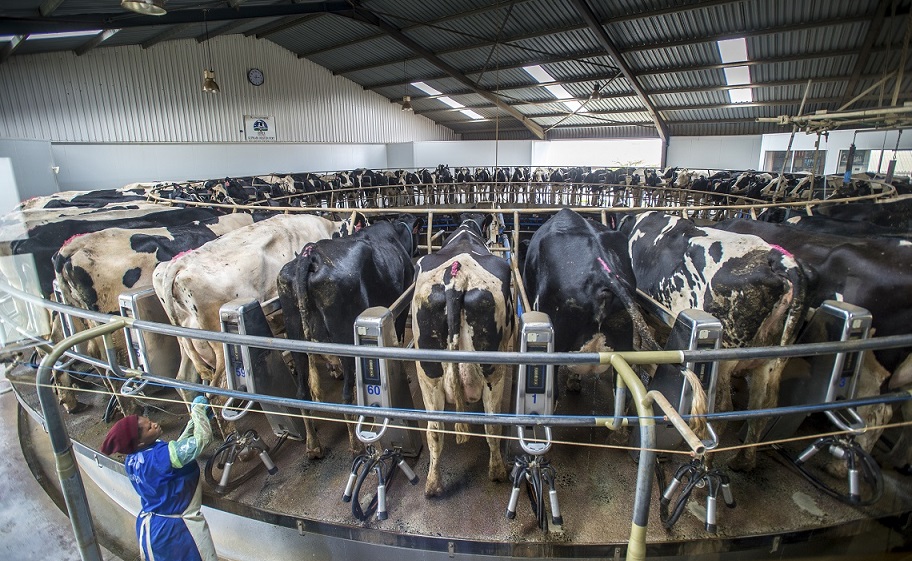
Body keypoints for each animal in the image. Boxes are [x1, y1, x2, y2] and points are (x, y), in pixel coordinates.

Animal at [152, 212, 365, 415]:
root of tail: (179, 265)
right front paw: (333, 370)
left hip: (187, 340)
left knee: (184, 379)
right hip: (220, 345)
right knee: (218, 394)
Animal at [276, 215, 424, 457]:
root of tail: (310, 256)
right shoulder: (400, 307)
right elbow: (400, 336)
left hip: (295, 333)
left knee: (302, 392)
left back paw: (313, 446)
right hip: (344, 335)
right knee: (345, 395)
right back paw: (355, 446)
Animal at [411, 213, 515, 496]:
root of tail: (457, 276)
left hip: (427, 373)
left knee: (434, 431)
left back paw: (433, 484)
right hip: (494, 372)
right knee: (492, 425)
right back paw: (498, 472)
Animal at [618, 211, 808, 471]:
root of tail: (778, 260)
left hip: (725, 355)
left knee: (722, 409)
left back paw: (704, 463)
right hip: (771, 360)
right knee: (761, 407)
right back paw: (743, 460)